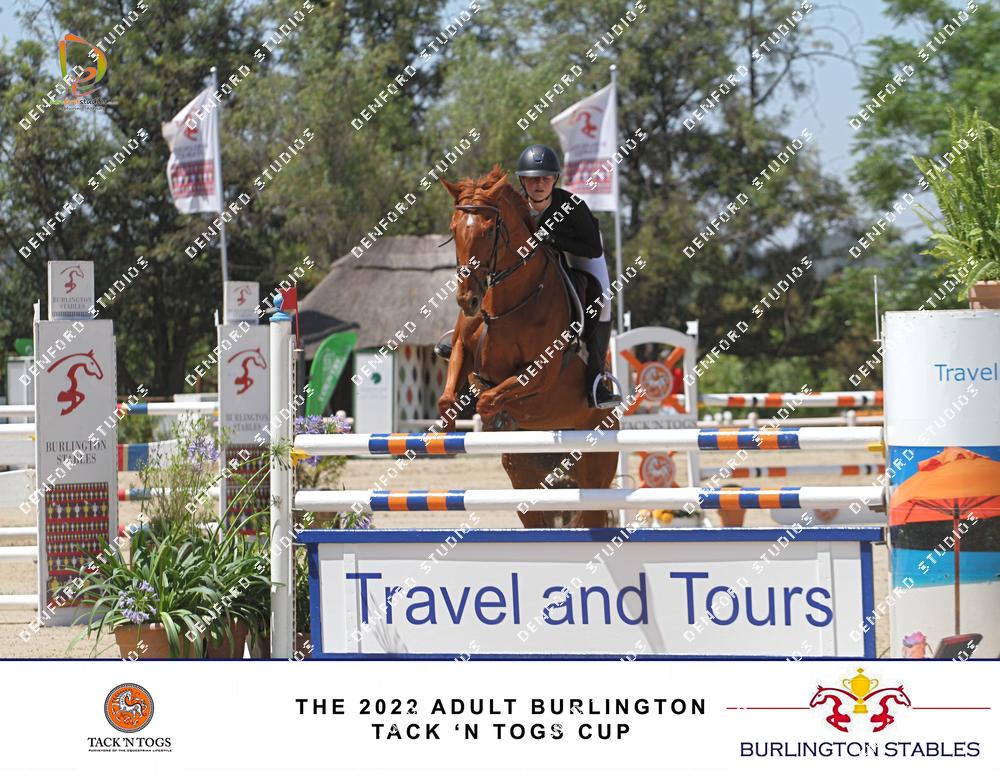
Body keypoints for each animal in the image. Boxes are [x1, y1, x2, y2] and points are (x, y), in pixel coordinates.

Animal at [437, 165, 619, 529]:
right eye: (453, 228)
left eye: (489, 231)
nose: (467, 300)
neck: (507, 300)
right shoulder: (462, 348)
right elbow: (448, 397)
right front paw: (447, 430)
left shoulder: (540, 373)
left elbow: (490, 398)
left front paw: (495, 413)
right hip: (525, 483)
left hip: (595, 471)